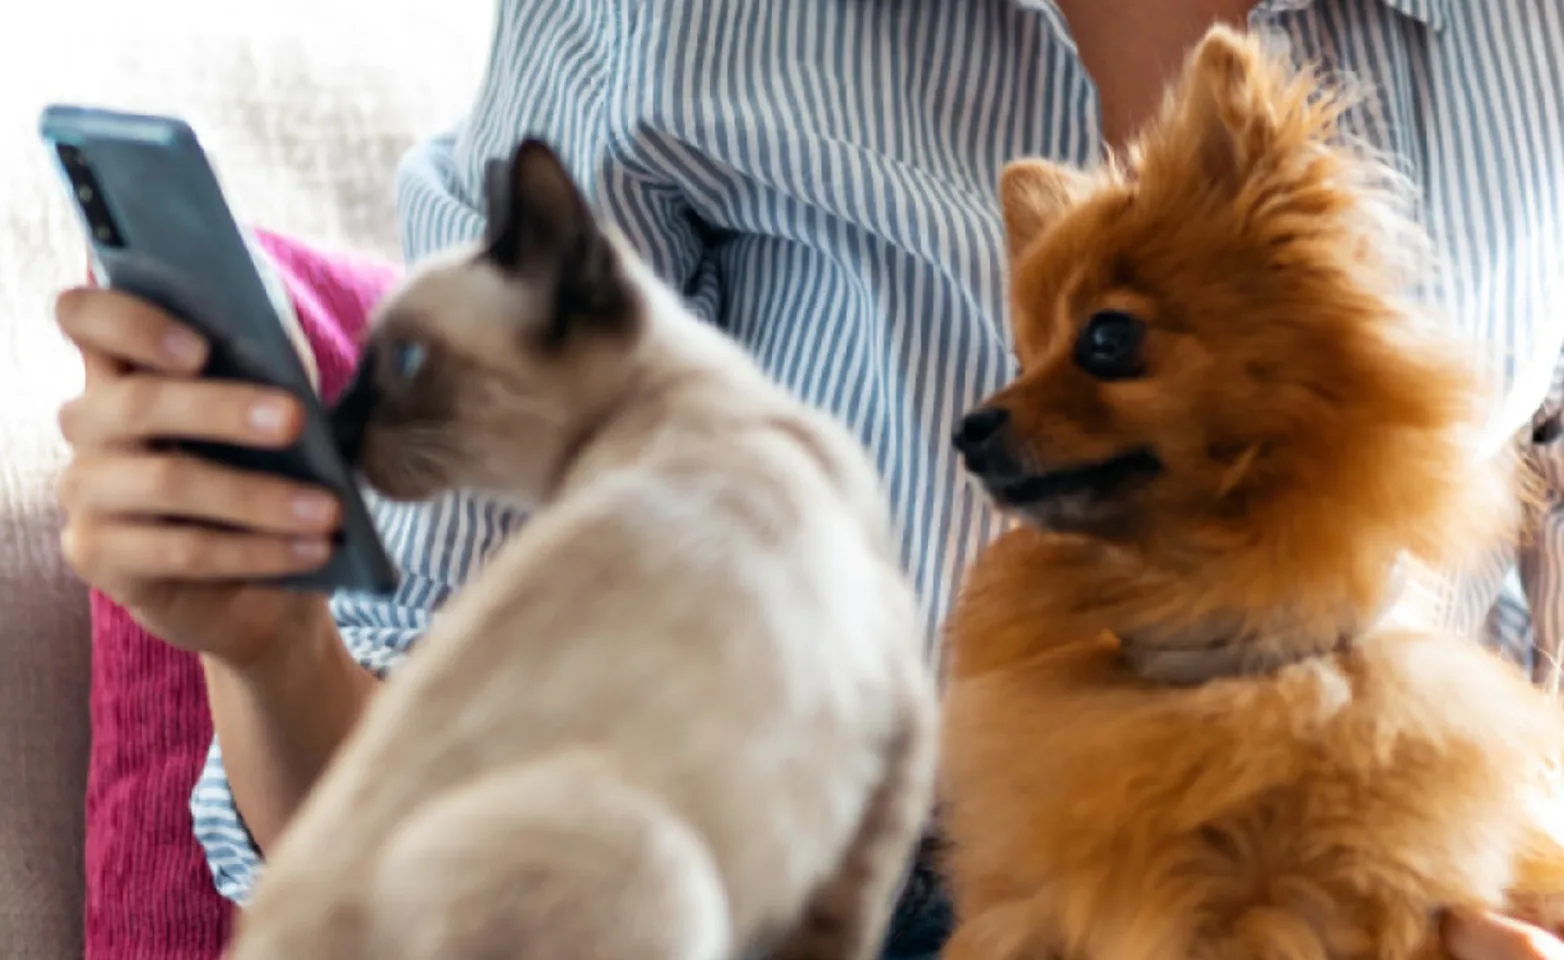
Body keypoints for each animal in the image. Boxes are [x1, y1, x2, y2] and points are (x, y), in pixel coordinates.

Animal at [932, 26, 1564, 960]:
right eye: (1024, 355)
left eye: (1106, 338)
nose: (969, 426)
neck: (1217, 651)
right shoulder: (1032, 911)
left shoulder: (1308, 910)